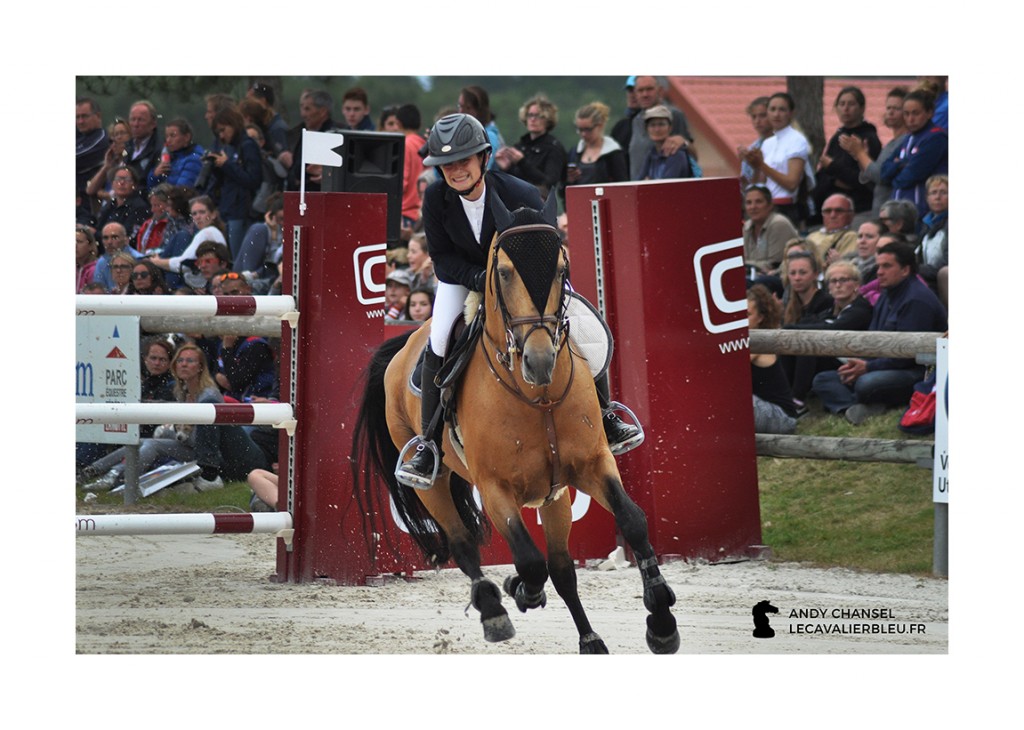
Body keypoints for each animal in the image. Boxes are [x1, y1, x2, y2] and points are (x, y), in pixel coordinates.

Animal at [350, 192, 680, 654]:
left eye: (561, 269)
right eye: (503, 272)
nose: (539, 362)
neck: (538, 398)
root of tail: (404, 342)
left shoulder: (591, 465)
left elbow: (631, 521)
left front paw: (661, 619)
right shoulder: (495, 489)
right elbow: (527, 559)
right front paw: (519, 590)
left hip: (555, 494)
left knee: (562, 567)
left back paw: (590, 638)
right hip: (434, 483)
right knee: (464, 545)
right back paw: (495, 609)